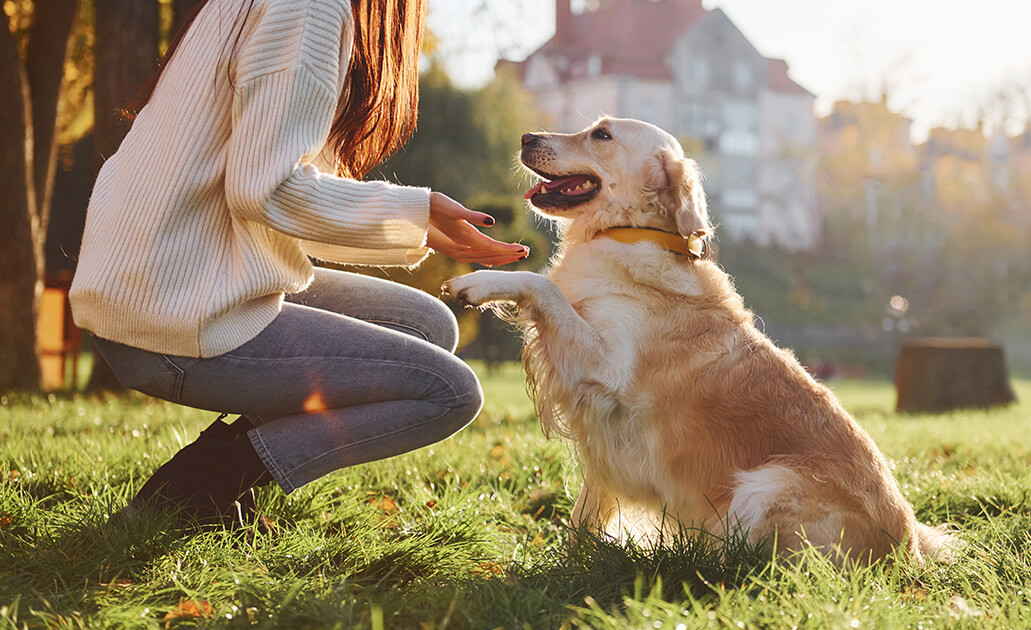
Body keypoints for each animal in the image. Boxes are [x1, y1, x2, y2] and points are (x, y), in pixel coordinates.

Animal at [443, 118, 948, 565]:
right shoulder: (604, 433)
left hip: (763, 487)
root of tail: (908, 553)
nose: (526, 137)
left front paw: (480, 282)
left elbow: (542, 285)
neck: (628, 233)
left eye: (601, 134)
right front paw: (568, 566)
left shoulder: (606, 371)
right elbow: (583, 514)